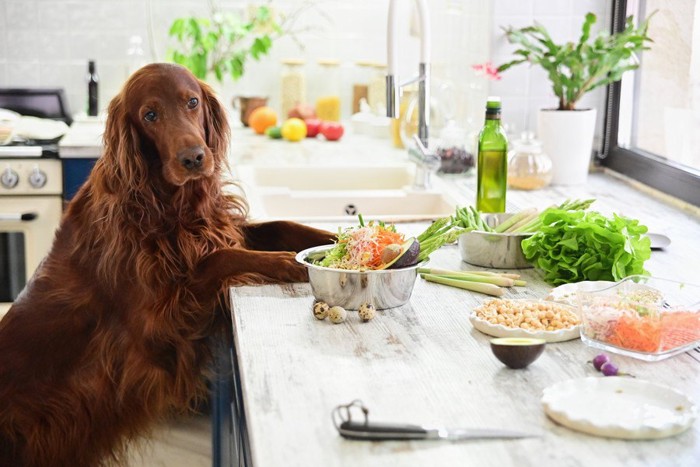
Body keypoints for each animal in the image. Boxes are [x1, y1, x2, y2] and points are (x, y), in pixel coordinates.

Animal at [0, 63, 334, 467]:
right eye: (150, 115)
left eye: (192, 102)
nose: (193, 158)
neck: (166, 203)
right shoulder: (157, 323)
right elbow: (219, 258)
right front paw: (288, 263)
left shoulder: (221, 229)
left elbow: (283, 226)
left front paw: (343, 238)